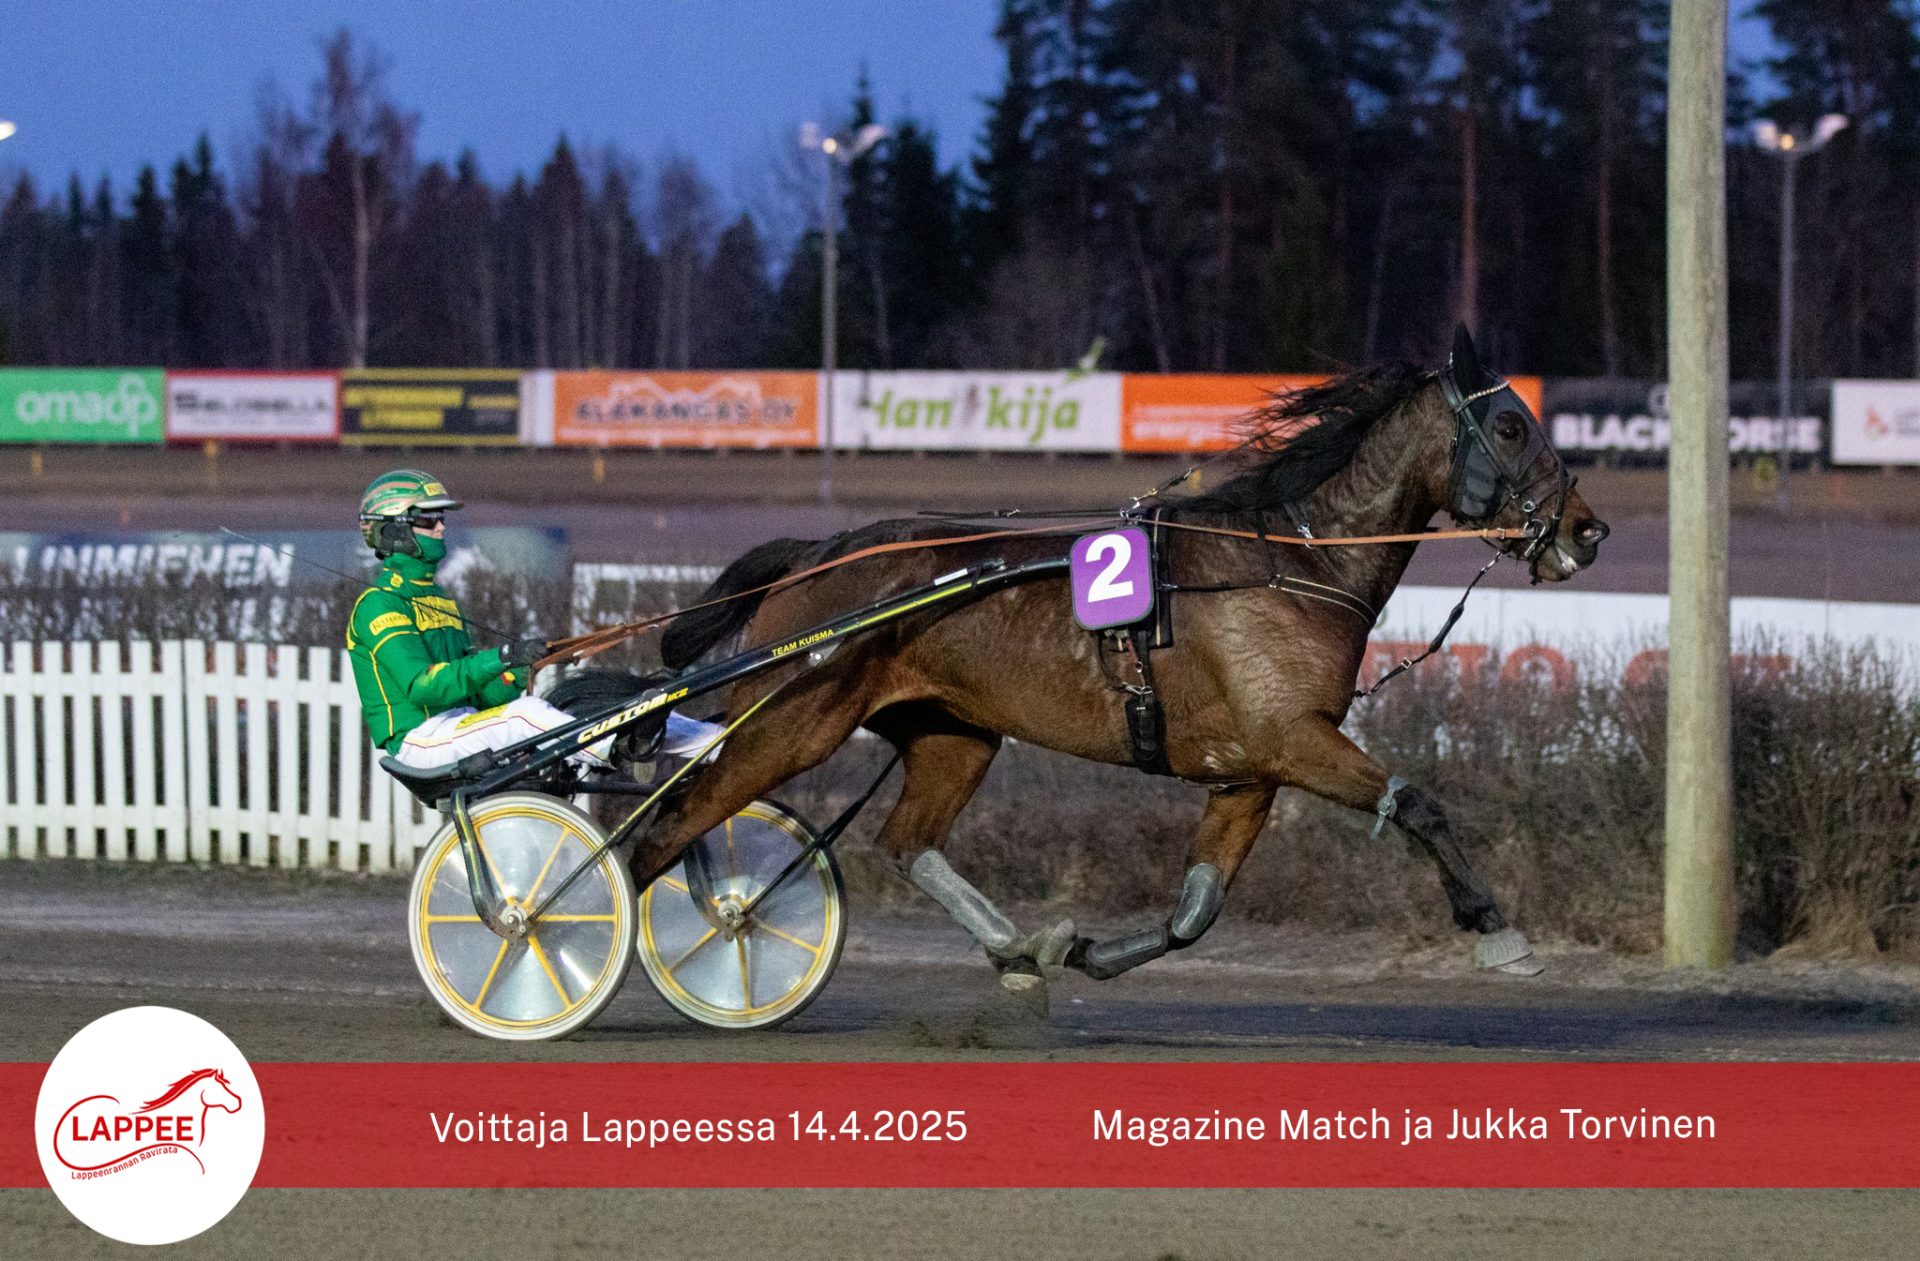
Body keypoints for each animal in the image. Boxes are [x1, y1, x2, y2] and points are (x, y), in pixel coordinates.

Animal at [593, 327, 1608, 989]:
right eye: (1511, 425)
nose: (1586, 530)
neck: (1294, 560)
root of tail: (822, 550)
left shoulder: (1249, 770)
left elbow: (1195, 911)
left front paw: (1086, 950)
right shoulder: (1295, 737)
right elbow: (1420, 803)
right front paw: (1496, 928)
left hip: (954, 731)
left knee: (906, 839)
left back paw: (1017, 946)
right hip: (796, 713)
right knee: (670, 819)